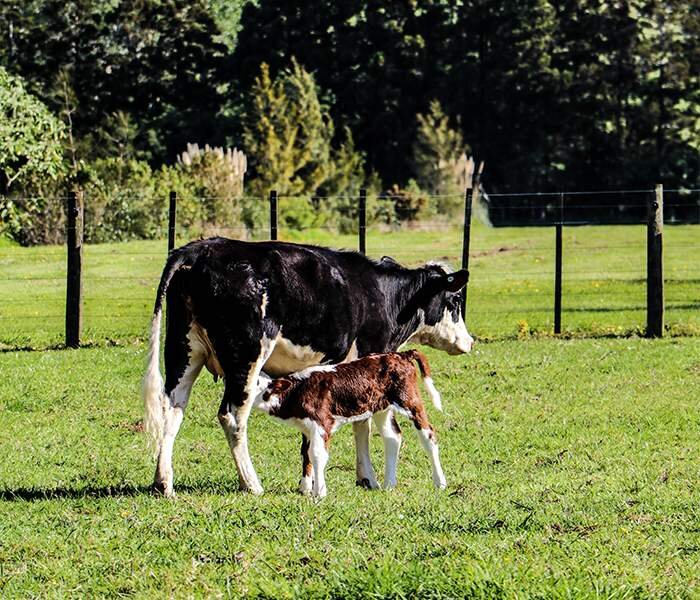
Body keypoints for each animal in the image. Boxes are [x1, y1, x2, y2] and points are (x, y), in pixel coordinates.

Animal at [254, 352, 446, 496]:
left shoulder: (322, 423)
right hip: (381, 407)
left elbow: (317, 454)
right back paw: (389, 485)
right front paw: (305, 488)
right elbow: (305, 453)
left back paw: (440, 482)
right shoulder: (308, 428)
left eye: (256, 384)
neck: (297, 391)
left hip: (409, 400)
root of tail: (400, 354)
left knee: (429, 435)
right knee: (393, 437)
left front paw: (319, 493)